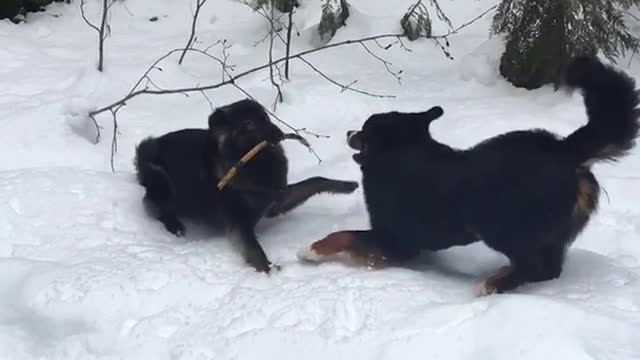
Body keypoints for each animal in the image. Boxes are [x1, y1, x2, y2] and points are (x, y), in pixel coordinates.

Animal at [134, 98, 360, 272]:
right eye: (249, 124)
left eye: (266, 118)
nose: (279, 134)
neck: (255, 163)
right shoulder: (239, 222)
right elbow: (253, 248)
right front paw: (267, 269)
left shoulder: (277, 199)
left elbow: (315, 181)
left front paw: (346, 185)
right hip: (158, 173)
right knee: (158, 207)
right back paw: (175, 225)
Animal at [298, 54, 640, 294]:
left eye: (365, 130)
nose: (349, 132)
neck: (401, 155)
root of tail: (564, 149)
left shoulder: (395, 238)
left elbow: (344, 235)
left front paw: (310, 250)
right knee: (549, 267)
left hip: (500, 222)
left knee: (533, 266)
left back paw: (491, 285)